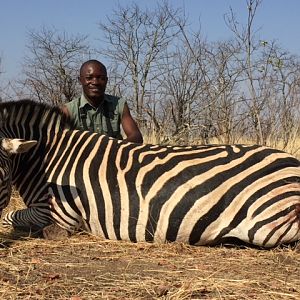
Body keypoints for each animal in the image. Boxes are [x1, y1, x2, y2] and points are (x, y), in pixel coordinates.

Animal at [0, 99, 298, 247]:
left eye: (1, 175)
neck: (47, 157)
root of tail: (292, 161)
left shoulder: (59, 215)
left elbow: (10, 217)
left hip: (265, 226)